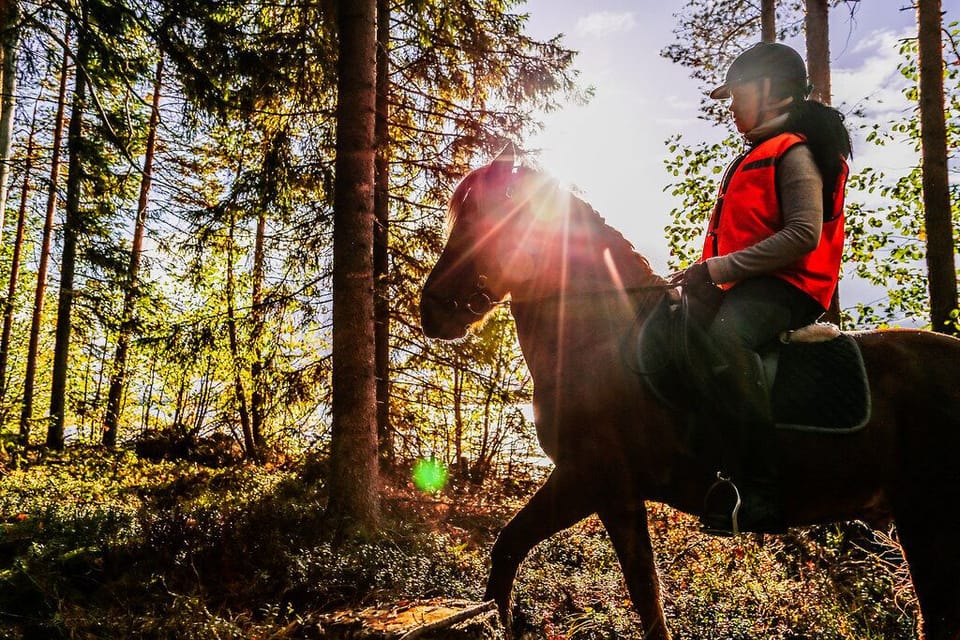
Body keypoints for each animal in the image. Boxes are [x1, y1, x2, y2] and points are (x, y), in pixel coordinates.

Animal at [419, 144, 960, 640]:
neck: (604, 336)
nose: (433, 309)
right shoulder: (606, 489)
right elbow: (611, 583)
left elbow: (561, 564)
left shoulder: (591, 478)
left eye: (491, 216)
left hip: (927, 520)